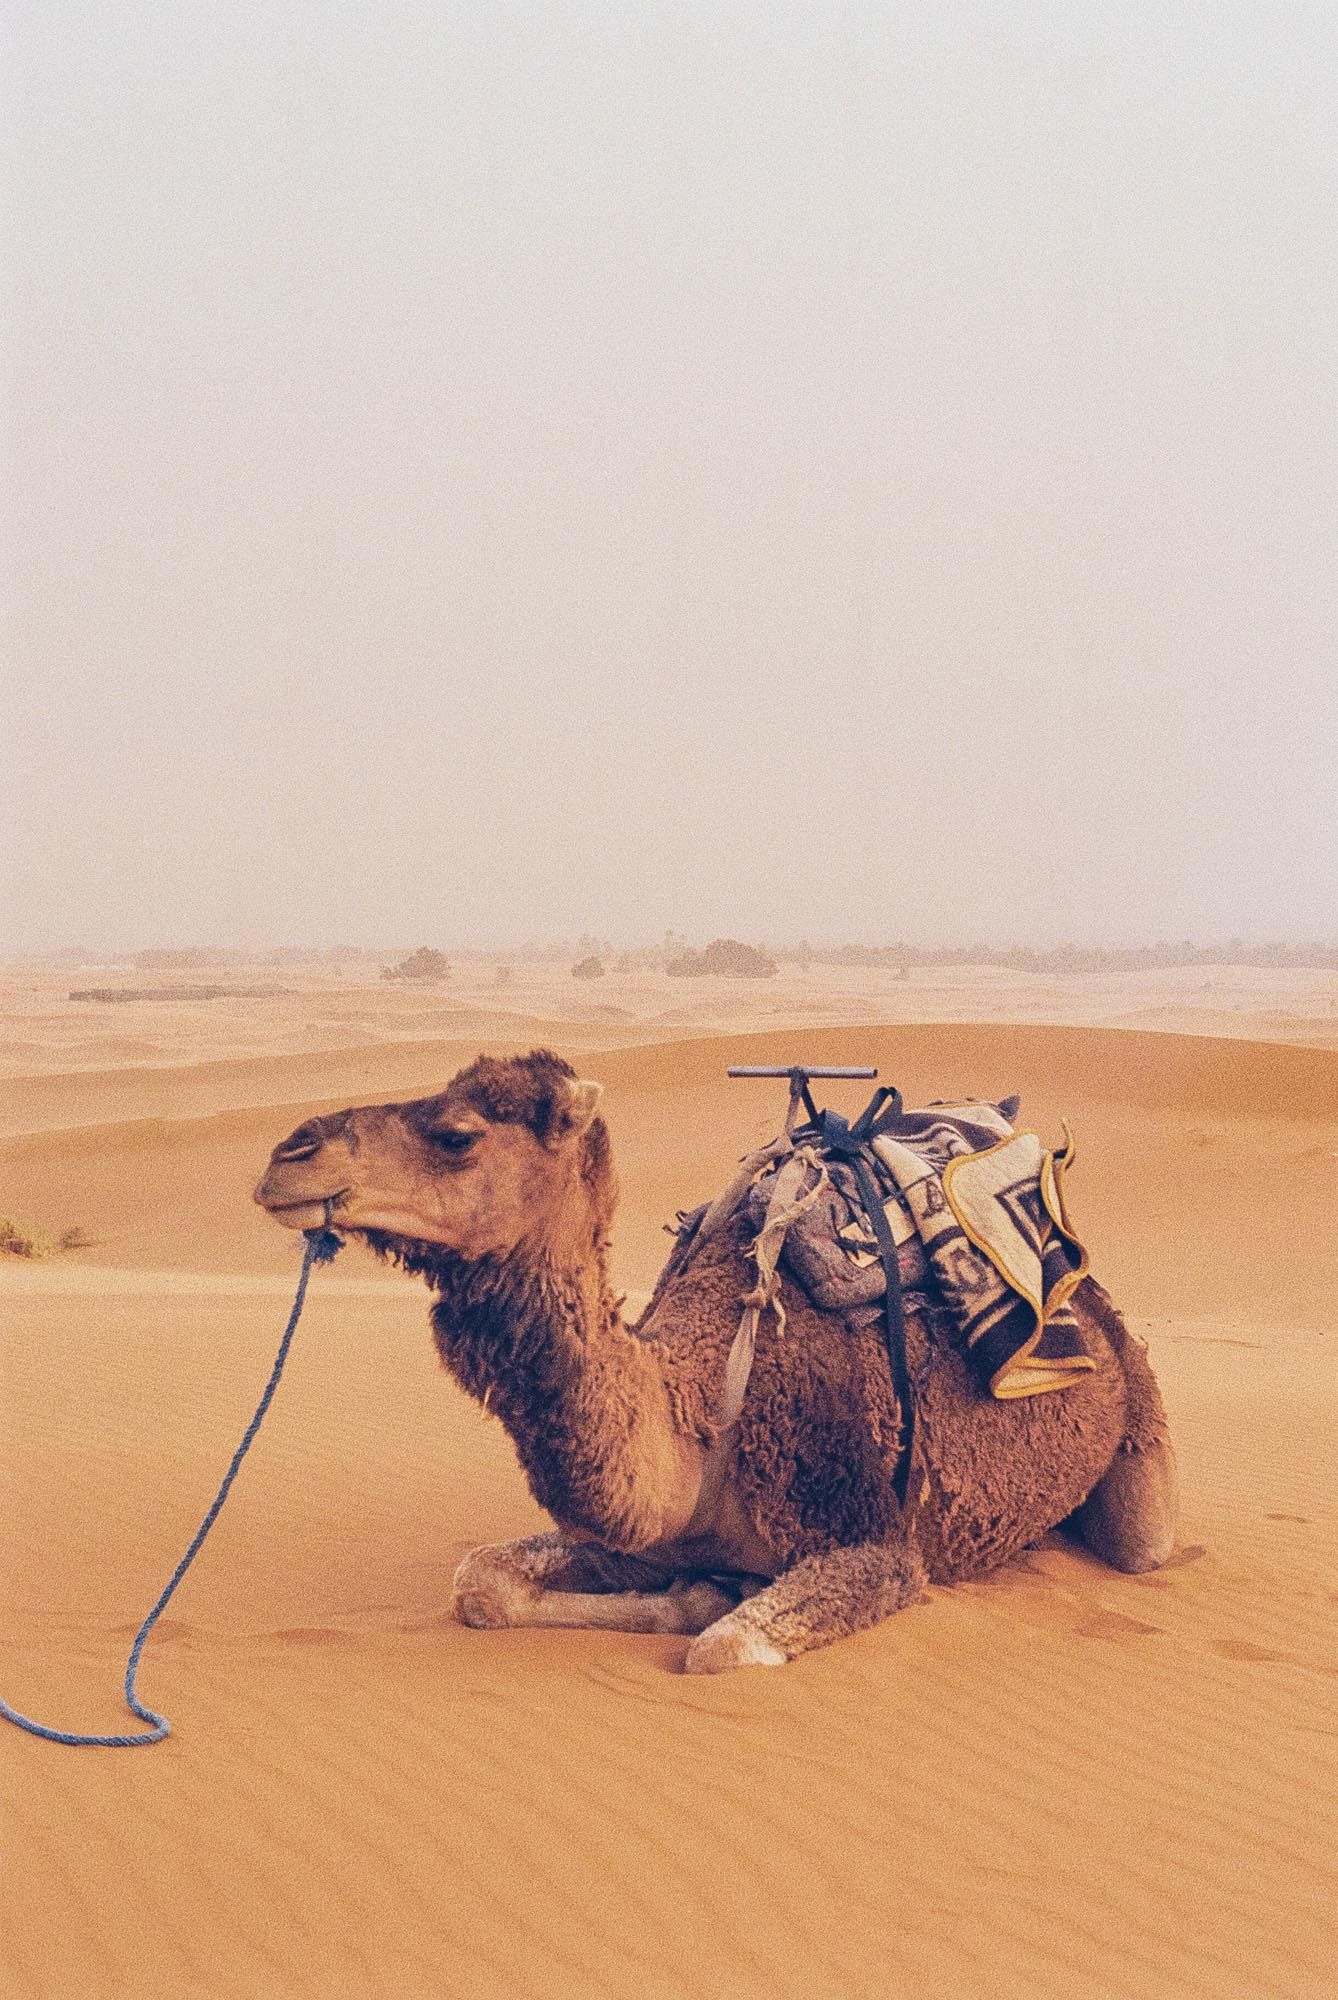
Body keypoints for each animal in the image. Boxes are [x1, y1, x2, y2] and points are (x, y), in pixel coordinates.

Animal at [253, 1049, 1177, 1672]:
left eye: (456, 1135)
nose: (287, 1156)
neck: (709, 1416)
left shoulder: (877, 1542)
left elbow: (721, 1649)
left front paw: (711, 1600)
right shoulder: (637, 1533)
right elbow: (479, 1581)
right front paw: (701, 1588)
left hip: (1139, 1416)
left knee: (1146, 1544)